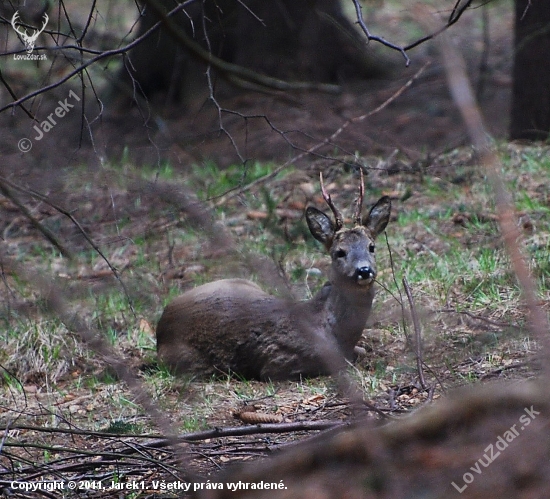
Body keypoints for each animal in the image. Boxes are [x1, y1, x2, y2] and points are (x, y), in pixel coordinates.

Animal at [156, 174, 392, 380]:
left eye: (371, 247)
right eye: (339, 252)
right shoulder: (277, 362)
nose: (364, 270)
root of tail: (161, 325)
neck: (332, 331)